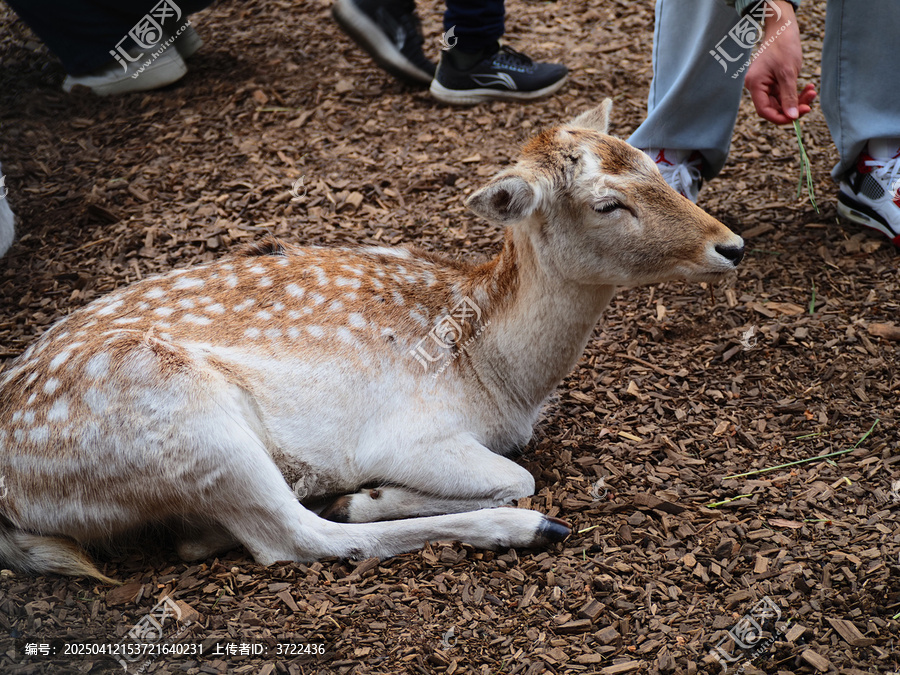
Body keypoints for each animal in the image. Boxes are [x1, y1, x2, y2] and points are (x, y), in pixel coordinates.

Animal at [0, 101, 744, 583]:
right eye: (607, 203)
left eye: (653, 164)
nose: (730, 245)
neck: (499, 376)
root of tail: (11, 495)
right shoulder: (410, 432)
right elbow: (518, 476)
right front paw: (371, 492)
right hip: (186, 420)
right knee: (291, 539)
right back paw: (520, 528)